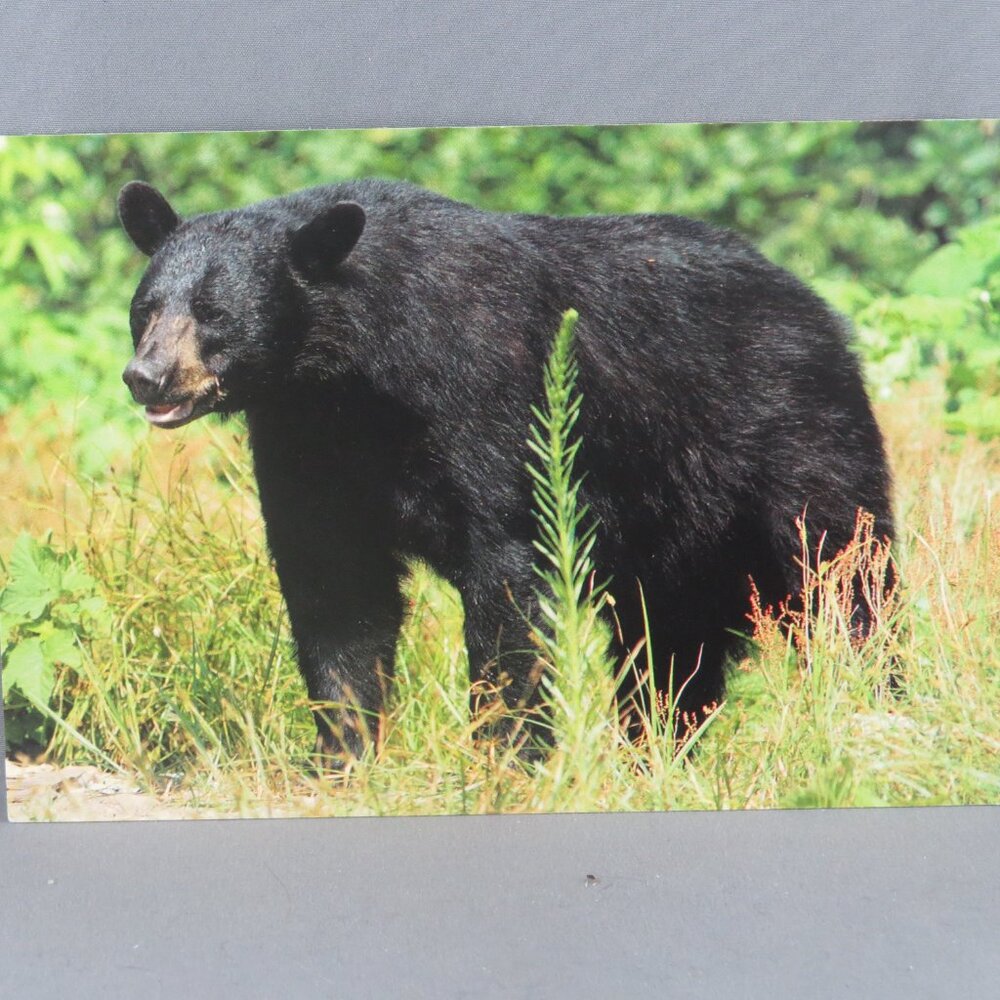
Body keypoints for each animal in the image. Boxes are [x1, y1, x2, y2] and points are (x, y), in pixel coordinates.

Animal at [117, 177, 894, 764]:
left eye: (214, 313)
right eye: (146, 308)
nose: (146, 376)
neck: (354, 378)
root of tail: (816, 305)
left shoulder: (488, 399)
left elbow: (509, 577)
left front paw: (503, 753)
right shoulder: (306, 445)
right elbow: (335, 589)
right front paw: (342, 755)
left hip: (795, 440)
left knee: (845, 581)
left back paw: (873, 711)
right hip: (678, 535)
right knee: (668, 646)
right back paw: (656, 753)